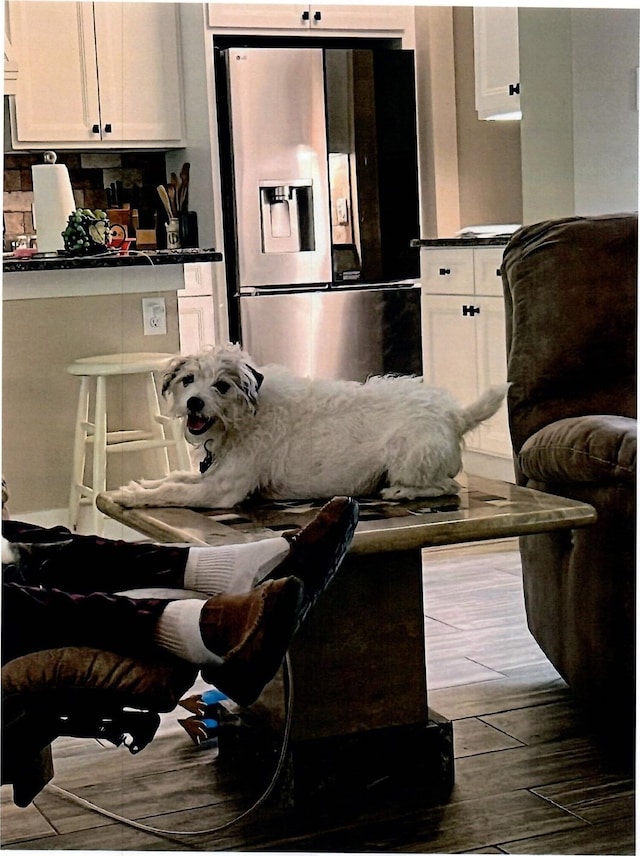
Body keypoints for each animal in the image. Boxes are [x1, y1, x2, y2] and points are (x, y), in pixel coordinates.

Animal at [111, 344, 510, 512]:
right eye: (188, 380)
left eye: (221, 386)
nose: (194, 402)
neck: (246, 417)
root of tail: (454, 415)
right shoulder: (212, 473)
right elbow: (174, 478)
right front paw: (140, 485)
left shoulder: (218, 492)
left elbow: (173, 491)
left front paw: (133, 497)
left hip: (407, 457)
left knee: (446, 486)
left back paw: (401, 492)